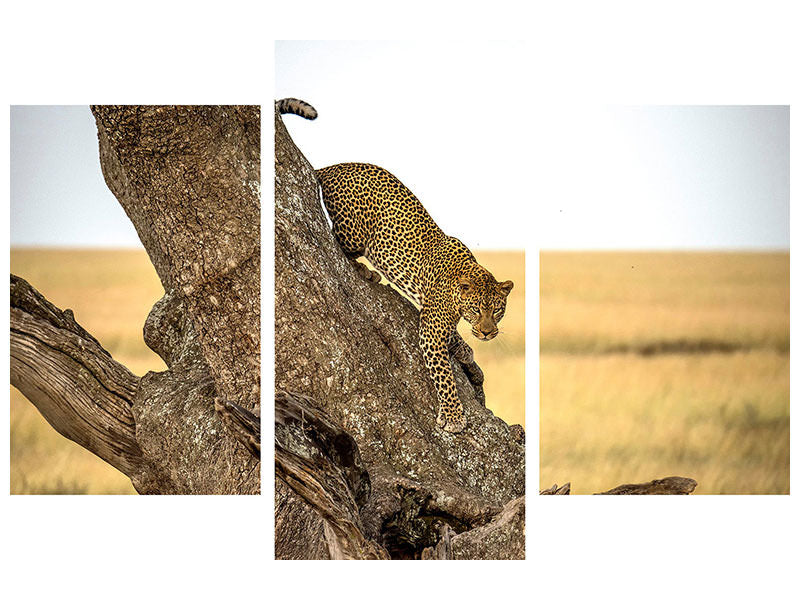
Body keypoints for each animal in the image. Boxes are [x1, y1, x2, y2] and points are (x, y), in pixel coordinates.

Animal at [277, 98, 514, 433]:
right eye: (477, 309)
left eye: (498, 310)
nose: (487, 333)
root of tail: (331, 167)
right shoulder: (431, 328)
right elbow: (444, 375)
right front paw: (453, 416)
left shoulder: (432, 313)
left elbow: (453, 338)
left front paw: (464, 350)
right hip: (355, 230)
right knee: (337, 241)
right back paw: (366, 271)